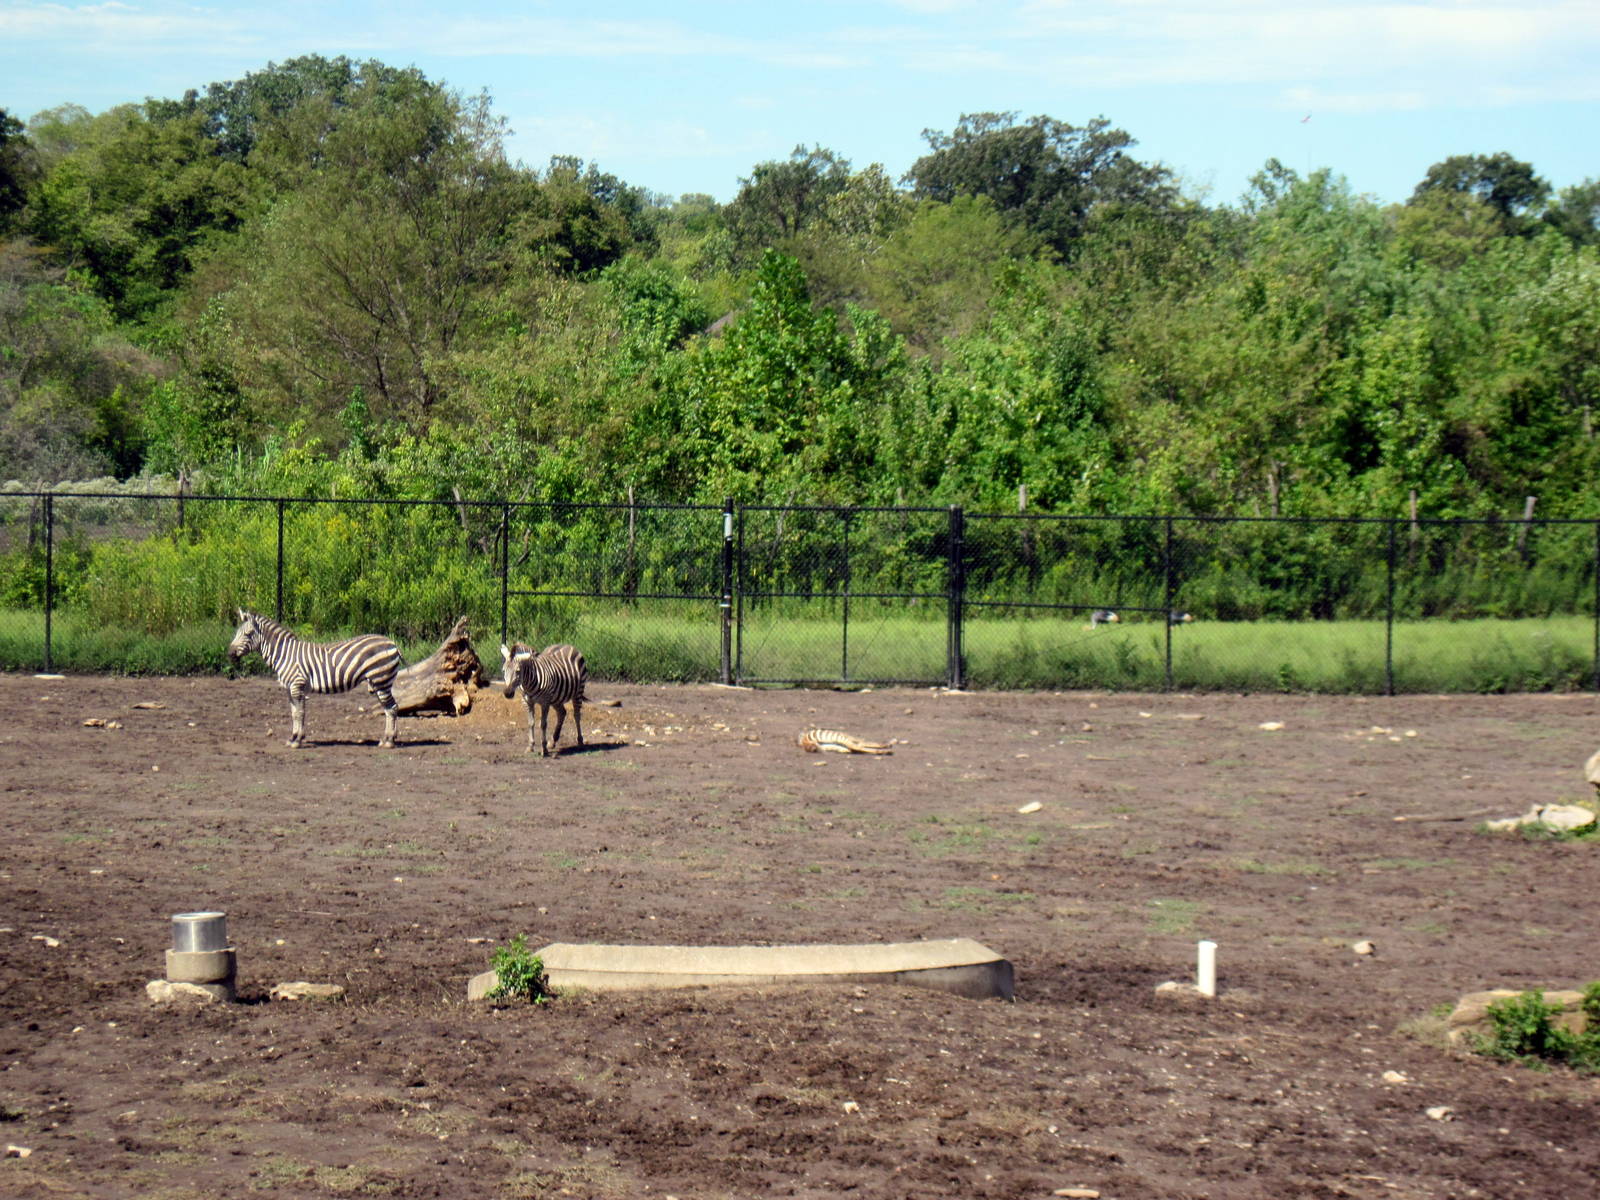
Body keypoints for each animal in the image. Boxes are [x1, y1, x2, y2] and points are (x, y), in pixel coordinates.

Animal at [227, 610, 404, 748]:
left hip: (381, 680)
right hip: (378, 683)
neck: (284, 654)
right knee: (388, 708)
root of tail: (392, 643)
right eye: (236, 633)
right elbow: (294, 713)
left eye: (248, 634)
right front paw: (293, 737)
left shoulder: (297, 685)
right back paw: (386, 739)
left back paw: (389, 741)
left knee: (392, 707)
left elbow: (299, 713)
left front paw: (297, 740)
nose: (230, 654)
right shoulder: (289, 689)